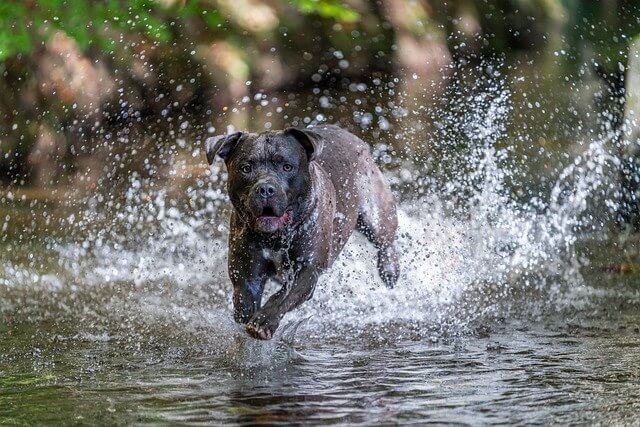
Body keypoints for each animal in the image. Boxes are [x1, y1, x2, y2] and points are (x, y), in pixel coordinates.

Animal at [205, 124, 398, 342]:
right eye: (246, 168)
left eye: (287, 167)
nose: (265, 188)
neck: (276, 237)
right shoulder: (247, 274)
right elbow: (247, 300)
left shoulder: (306, 270)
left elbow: (282, 297)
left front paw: (263, 322)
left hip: (375, 214)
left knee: (385, 242)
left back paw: (390, 270)